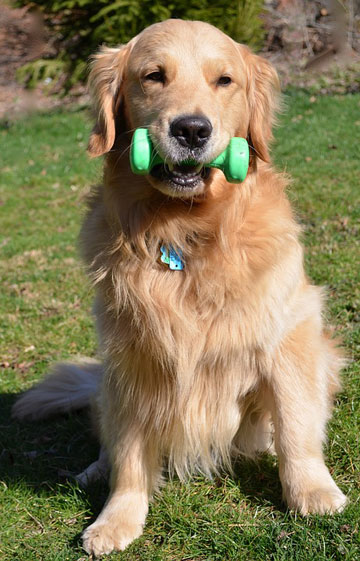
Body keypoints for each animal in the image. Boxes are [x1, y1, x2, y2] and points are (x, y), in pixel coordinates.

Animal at [12, 18, 348, 556]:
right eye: (154, 76)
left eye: (224, 81)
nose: (192, 129)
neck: (185, 234)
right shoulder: (133, 358)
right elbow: (130, 454)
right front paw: (117, 519)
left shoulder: (290, 335)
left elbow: (296, 425)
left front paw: (313, 493)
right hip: (108, 380)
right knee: (109, 439)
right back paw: (94, 470)